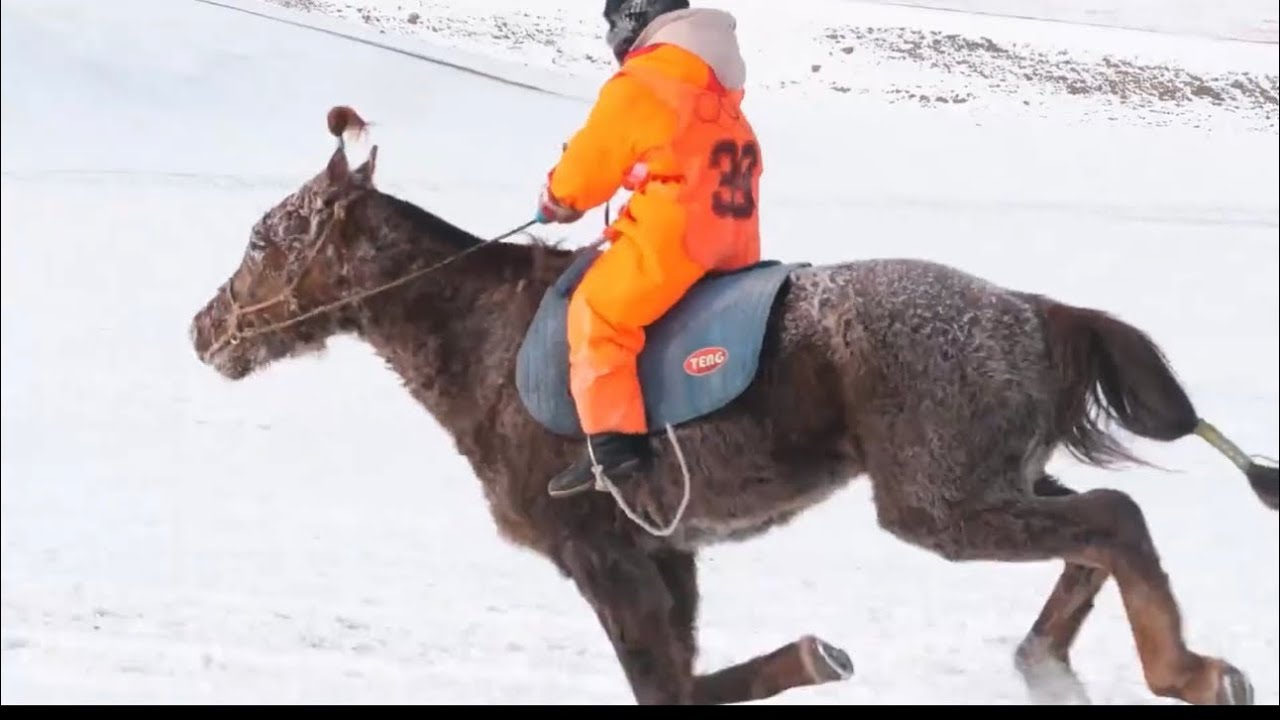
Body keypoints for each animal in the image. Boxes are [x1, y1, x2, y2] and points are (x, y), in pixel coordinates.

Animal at [188, 106, 1277, 705]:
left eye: (264, 238)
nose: (203, 330)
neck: (481, 337)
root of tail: (1032, 309)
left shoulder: (603, 552)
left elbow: (667, 687)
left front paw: (810, 656)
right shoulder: (663, 552)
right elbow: (688, 682)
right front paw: (814, 655)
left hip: (937, 502)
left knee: (1111, 518)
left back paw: (1185, 672)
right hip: (992, 477)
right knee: (1095, 532)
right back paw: (1052, 663)